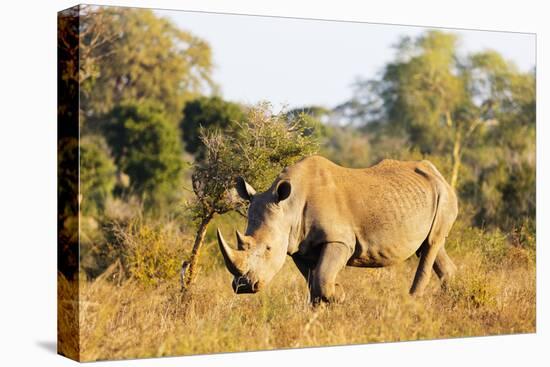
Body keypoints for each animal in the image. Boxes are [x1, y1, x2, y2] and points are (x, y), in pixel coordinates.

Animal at [218, 156, 460, 304]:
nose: (244, 287)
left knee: (431, 245)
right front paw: (319, 311)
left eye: (268, 248)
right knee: (431, 247)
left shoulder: (339, 240)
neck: (289, 206)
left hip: (444, 194)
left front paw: (339, 293)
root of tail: (438, 174)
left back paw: (411, 302)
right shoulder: (298, 246)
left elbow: (322, 278)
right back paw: (453, 295)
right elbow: (313, 282)